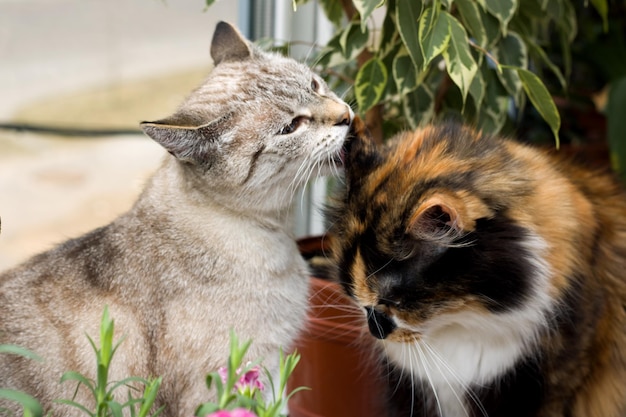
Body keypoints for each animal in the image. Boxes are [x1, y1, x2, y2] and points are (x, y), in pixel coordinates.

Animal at [0, 22, 352, 416]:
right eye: (291, 127)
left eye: (315, 85)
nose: (346, 116)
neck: (278, 233)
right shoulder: (232, 384)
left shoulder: (273, 373)